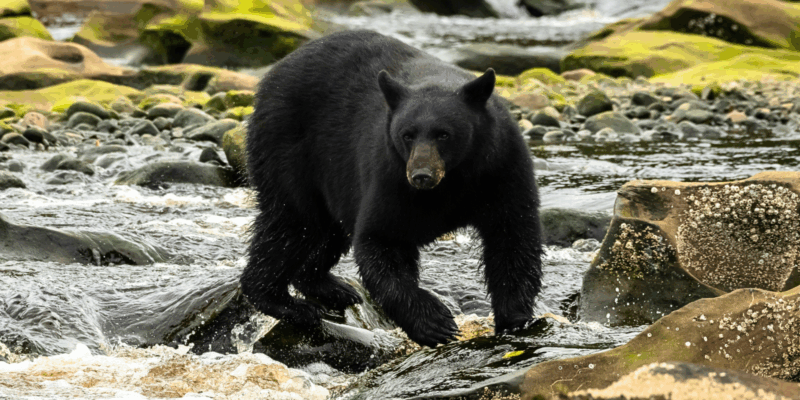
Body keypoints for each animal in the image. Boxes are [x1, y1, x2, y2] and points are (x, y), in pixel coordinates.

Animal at [241, 30, 543, 347]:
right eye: (407, 134)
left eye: (444, 134)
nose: (421, 175)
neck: (452, 180)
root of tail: (275, 70)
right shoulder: (391, 177)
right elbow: (382, 238)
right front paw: (434, 322)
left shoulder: (501, 169)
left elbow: (512, 238)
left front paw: (515, 319)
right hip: (287, 149)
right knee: (293, 225)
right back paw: (286, 303)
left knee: (324, 231)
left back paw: (330, 287)